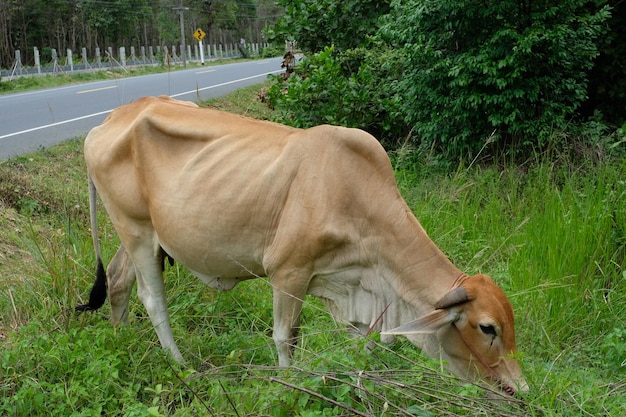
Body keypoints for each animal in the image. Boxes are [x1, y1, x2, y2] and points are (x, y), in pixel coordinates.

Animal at [78, 94, 528, 394]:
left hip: (142, 236)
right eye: (487, 327)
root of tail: (113, 117)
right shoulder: (288, 272)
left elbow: (362, 345)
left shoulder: (354, 290)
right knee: (153, 300)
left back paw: (120, 341)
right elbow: (285, 338)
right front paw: (289, 386)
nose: (520, 388)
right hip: (136, 231)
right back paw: (181, 364)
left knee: (117, 282)